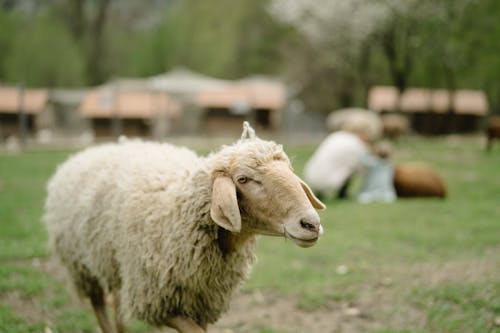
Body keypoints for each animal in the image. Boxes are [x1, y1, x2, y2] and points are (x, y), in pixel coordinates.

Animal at [43, 122, 324, 332]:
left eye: (289, 168)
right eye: (243, 179)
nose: (311, 223)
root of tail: (91, 150)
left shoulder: (201, 300)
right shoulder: (155, 300)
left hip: (114, 265)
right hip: (81, 265)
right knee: (100, 306)